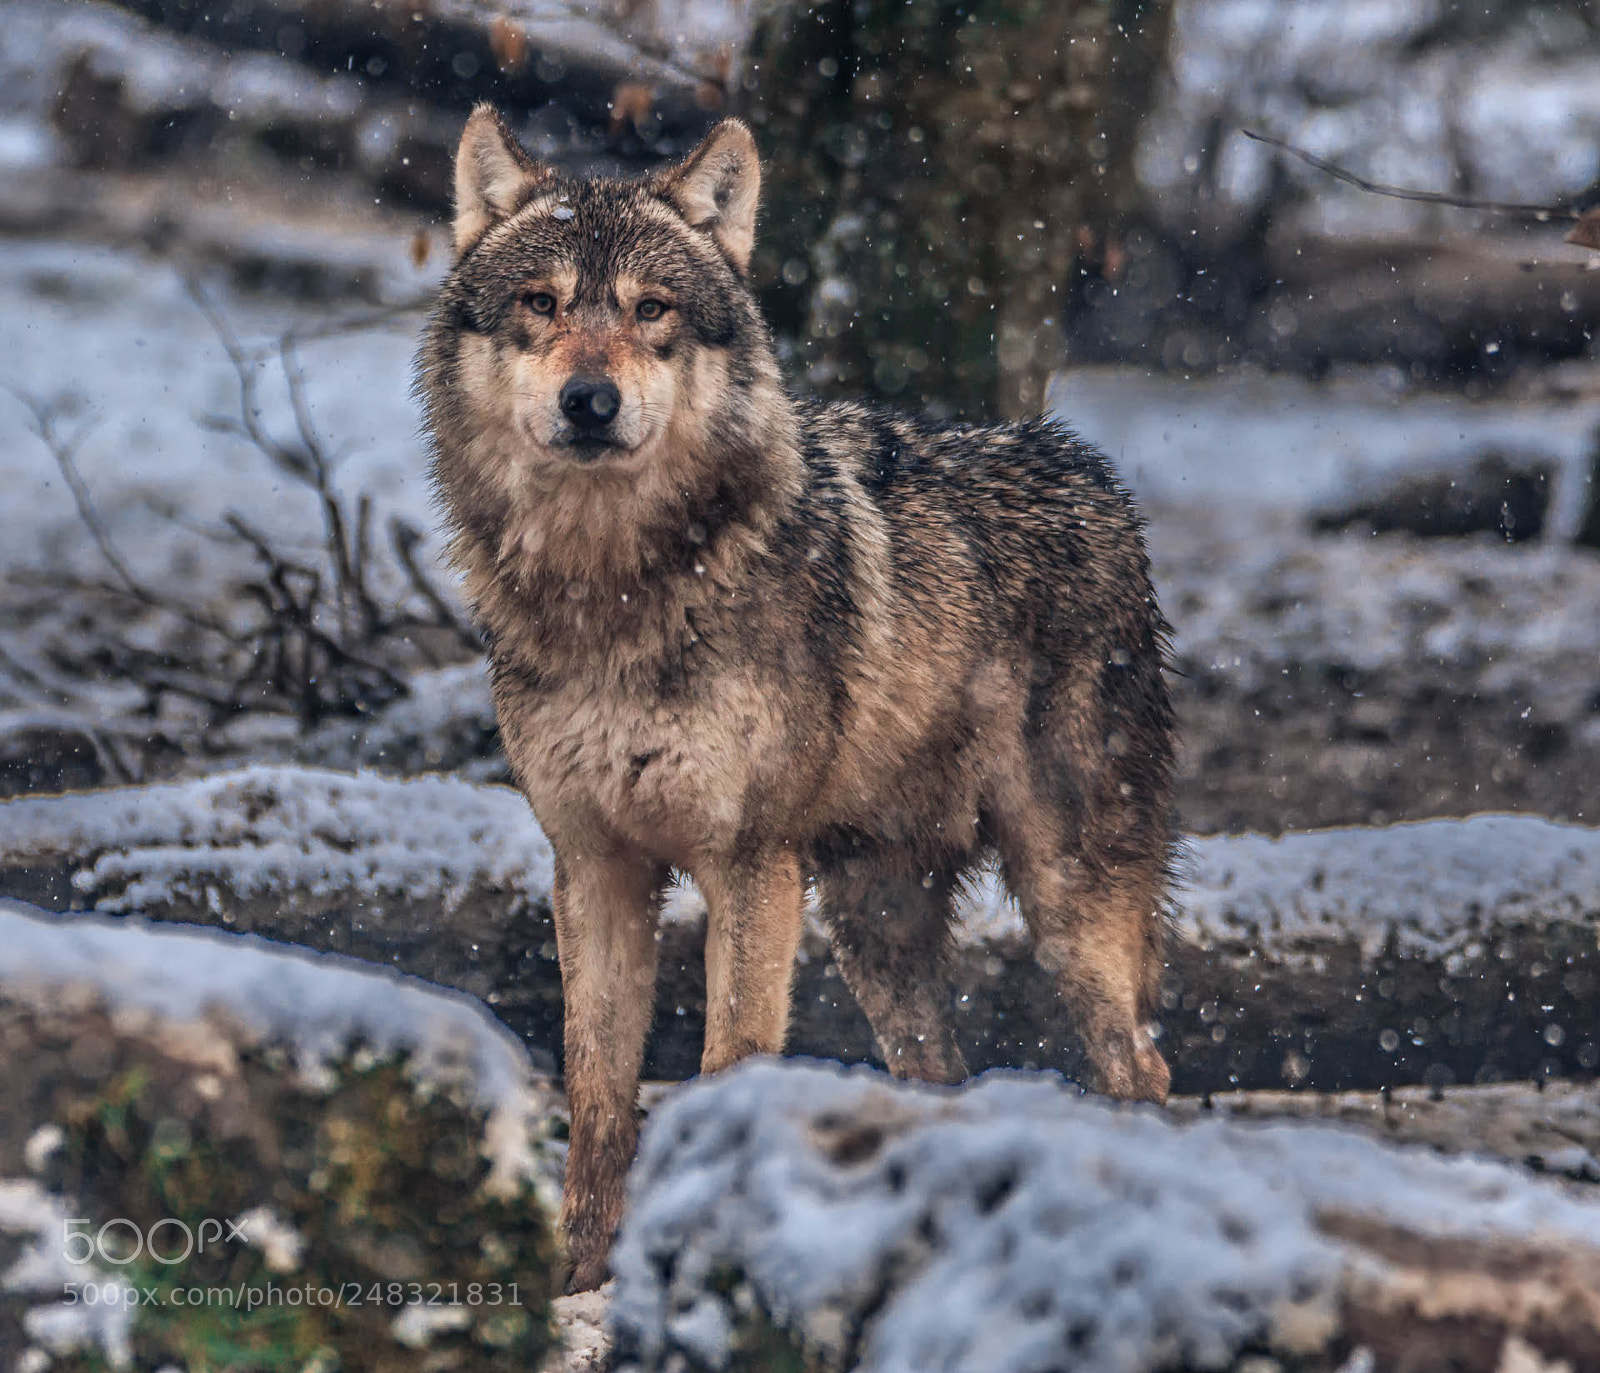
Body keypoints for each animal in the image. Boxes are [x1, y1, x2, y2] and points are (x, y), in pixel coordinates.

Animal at [418, 106, 1177, 1292]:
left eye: (651, 309)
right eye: (541, 303)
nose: (589, 400)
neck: (615, 591)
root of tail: (1090, 473)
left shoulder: (749, 861)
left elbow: (729, 1059)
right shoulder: (593, 863)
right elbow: (597, 1094)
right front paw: (580, 1277)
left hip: (1063, 898)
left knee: (1140, 1070)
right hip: (875, 920)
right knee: (939, 1068)